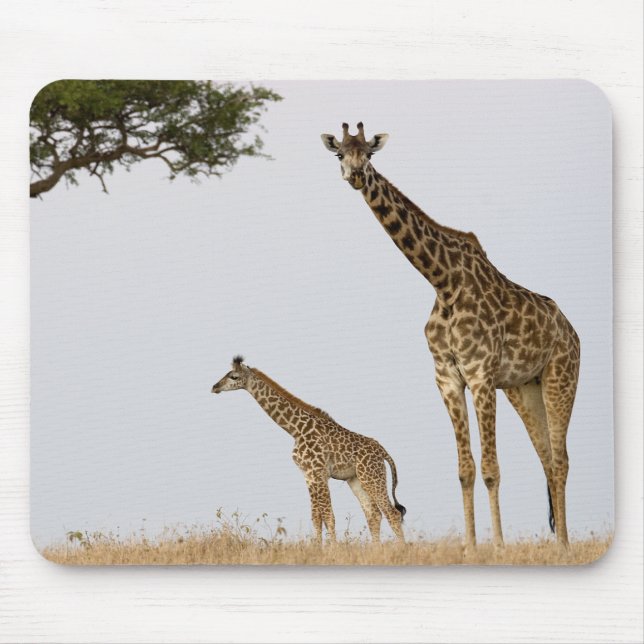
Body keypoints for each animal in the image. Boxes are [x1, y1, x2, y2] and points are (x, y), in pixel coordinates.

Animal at [211, 356, 406, 544]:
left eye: (234, 376)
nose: (214, 387)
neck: (295, 430)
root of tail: (384, 452)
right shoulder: (308, 476)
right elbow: (316, 518)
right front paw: (318, 548)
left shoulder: (319, 473)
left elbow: (328, 517)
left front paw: (333, 549)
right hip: (356, 479)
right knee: (374, 514)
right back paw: (376, 549)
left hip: (372, 476)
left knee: (392, 513)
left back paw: (401, 548)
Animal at [321, 122, 580, 549]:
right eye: (340, 153)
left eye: (369, 154)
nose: (356, 175)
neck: (442, 281)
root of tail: (572, 332)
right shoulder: (447, 378)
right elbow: (465, 469)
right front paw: (471, 546)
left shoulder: (480, 375)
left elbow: (490, 468)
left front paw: (498, 546)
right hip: (524, 388)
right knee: (545, 457)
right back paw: (558, 540)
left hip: (562, 377)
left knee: (560, 460)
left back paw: (564, 546)